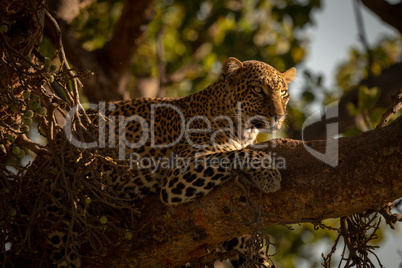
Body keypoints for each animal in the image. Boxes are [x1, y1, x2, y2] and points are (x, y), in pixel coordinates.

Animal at [34, 56, 296, 266]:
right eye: (258, 90)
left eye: (283, 93)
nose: (279, 116)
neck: (243, 130)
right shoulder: (179, 177)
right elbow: (234, 154)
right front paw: (268, 173)